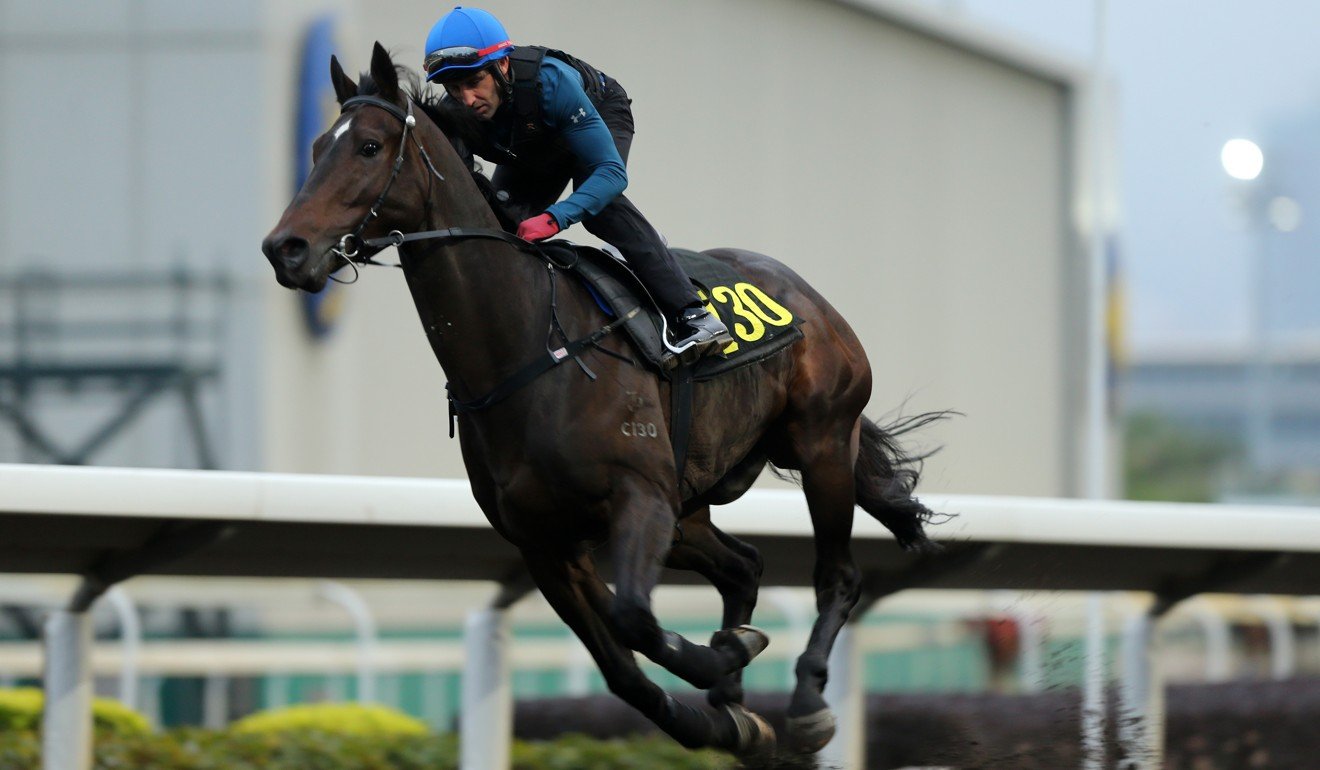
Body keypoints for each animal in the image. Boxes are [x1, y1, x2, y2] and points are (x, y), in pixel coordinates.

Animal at [262, 43, 945, 760]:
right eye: (316, 147)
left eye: (368, 146)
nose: (286, 249)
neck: (529, 351)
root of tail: (810, 298)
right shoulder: (545, 542)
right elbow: (623, 670)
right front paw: (720, 710)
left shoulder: (637, 499)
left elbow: (635, 619)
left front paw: (725, 662)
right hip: (689, 507)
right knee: (743, 567)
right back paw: (735, 698)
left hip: (820, 445)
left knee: (836, 575)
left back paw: (808, 703)